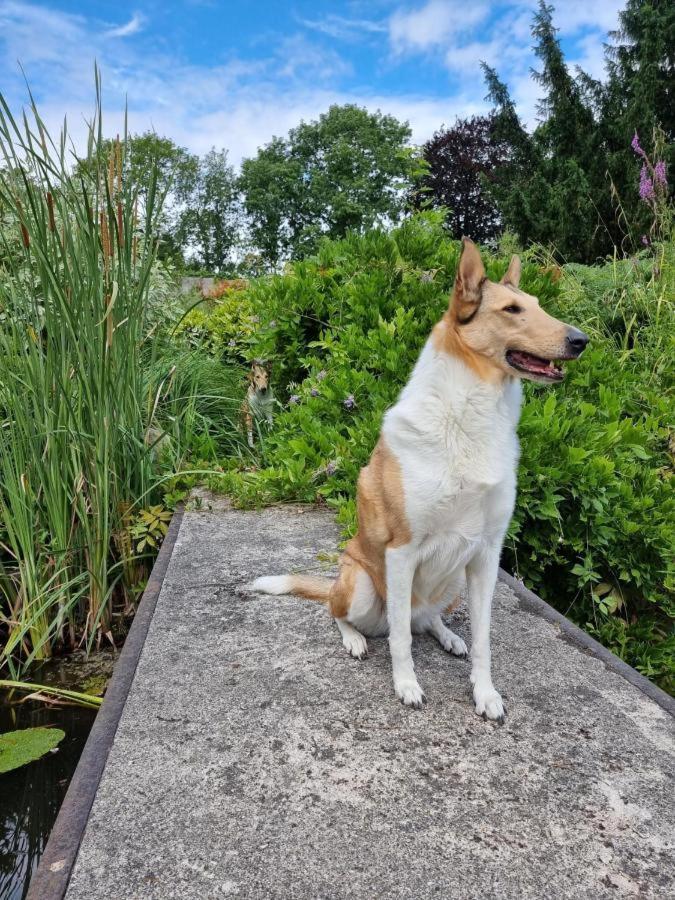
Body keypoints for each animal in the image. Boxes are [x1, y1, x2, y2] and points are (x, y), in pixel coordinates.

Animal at [251, 241, 588, 724]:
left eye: (540, 306)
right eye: (511, 309)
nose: (581, 341)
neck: (472, 416)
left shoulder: (487, 554)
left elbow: (484, 640)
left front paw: (485, 694)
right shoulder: (402, 550)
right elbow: (400, 641)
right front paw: (407, 686)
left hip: (452, 584)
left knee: (424, 621)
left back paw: (447, 636)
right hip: (361, 586)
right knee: (348, 614)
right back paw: (354, 638)